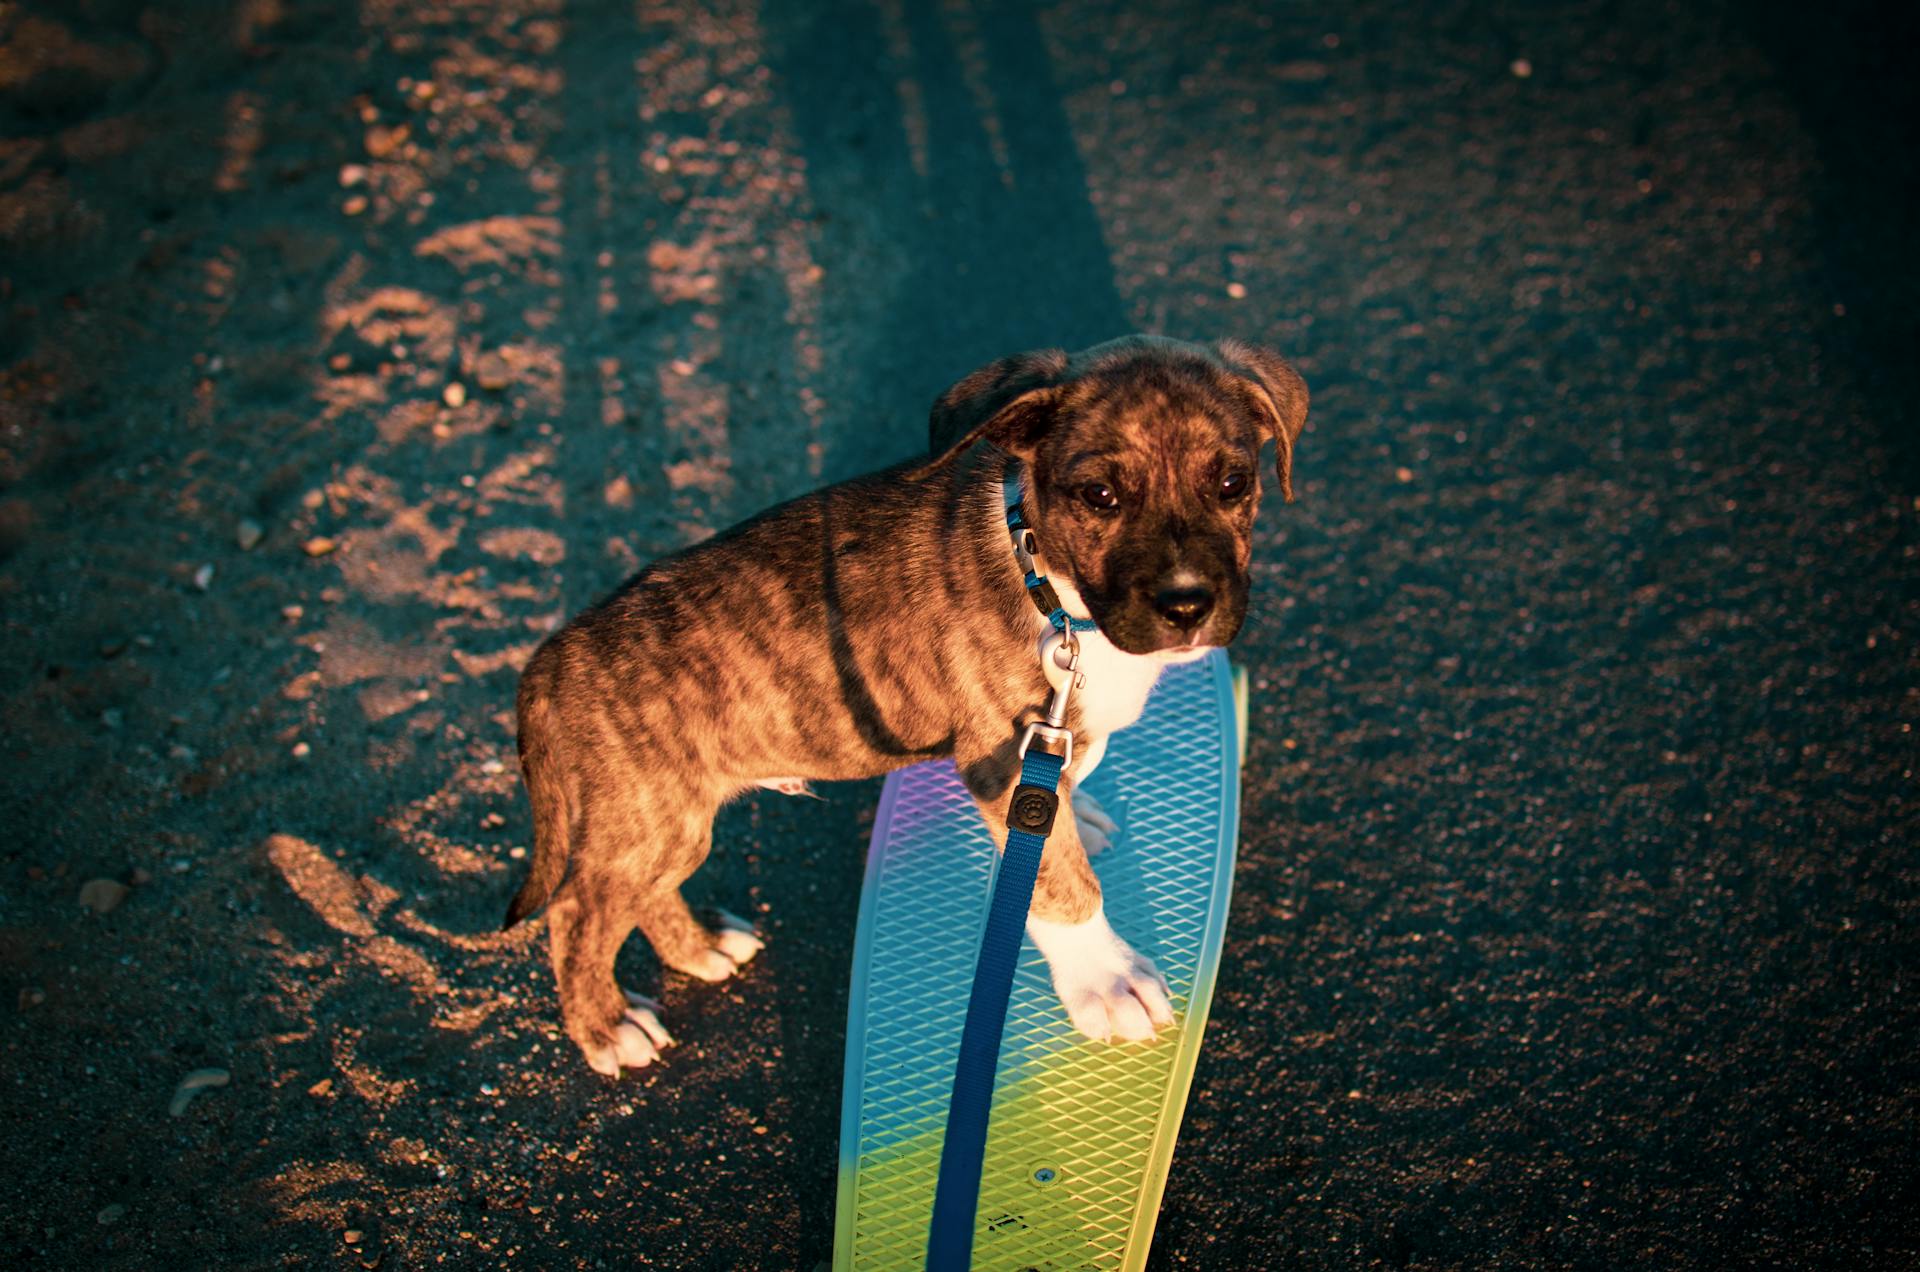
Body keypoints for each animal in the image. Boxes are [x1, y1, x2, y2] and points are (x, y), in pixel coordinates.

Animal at [503, 336, 1305, 1076]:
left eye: (1233, 482)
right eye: (1101, 497)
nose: (1187, 606)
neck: (1046, 579)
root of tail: (555, 655)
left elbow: (1060, 809)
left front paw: (1083, 811)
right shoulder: (1001, 764)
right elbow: (1060, 882)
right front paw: (1104, 980)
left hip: (664, 828)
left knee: (635, 896)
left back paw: (698, 948)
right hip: (652, 822)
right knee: (576, 912)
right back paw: (608, 1028)